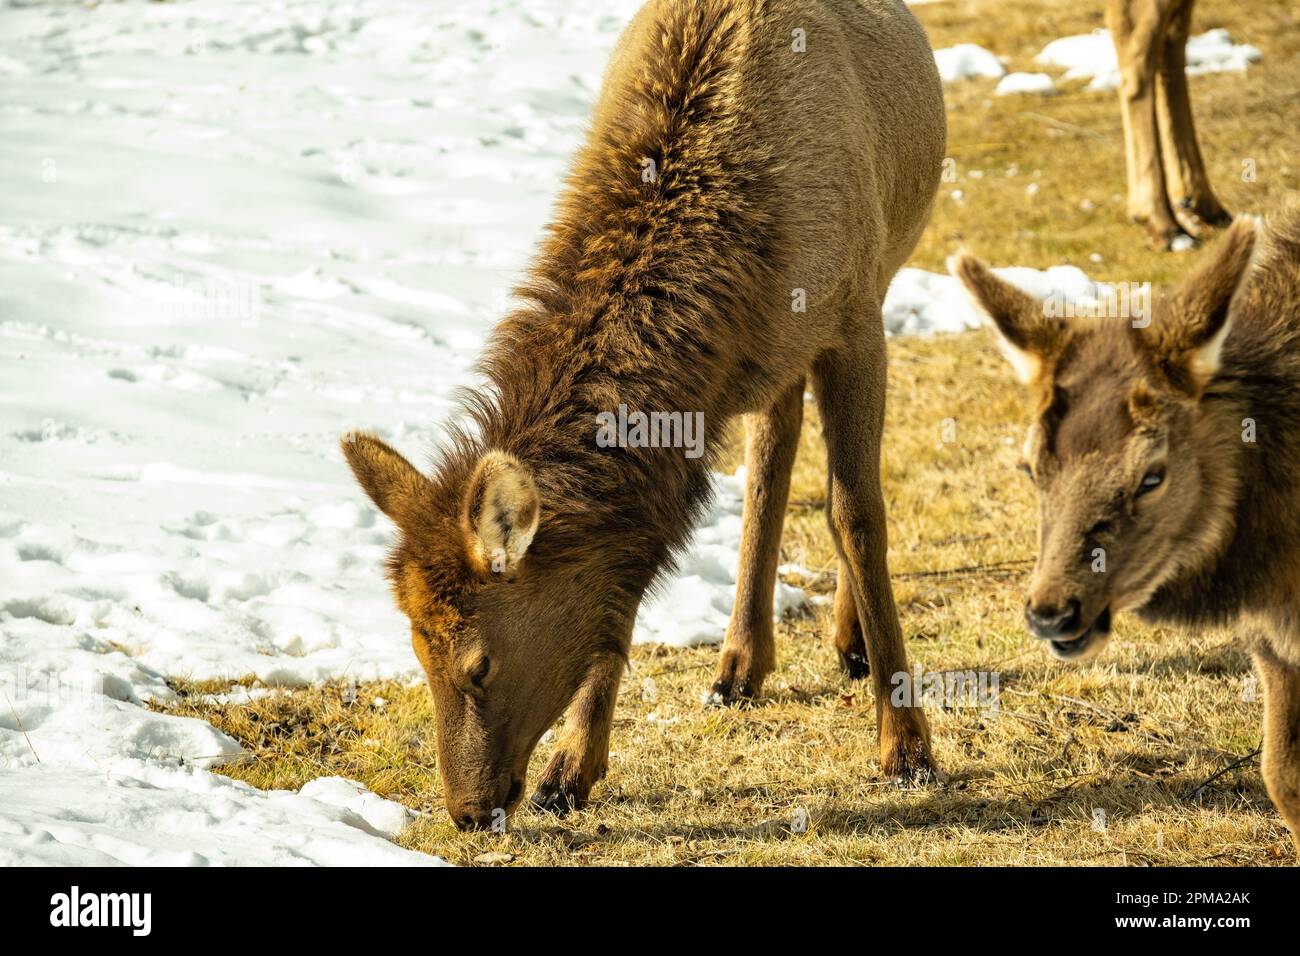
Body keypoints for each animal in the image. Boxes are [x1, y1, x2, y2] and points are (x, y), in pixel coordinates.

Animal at [340, 0, 946, 832]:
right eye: (415, 649)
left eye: (479, 664)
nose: (465, 809)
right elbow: (623, 568)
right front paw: (571, 767)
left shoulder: (854, 316)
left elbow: (857, 514)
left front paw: (908, 747)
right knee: (773, 456)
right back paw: (740, 665)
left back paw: (844, 646)